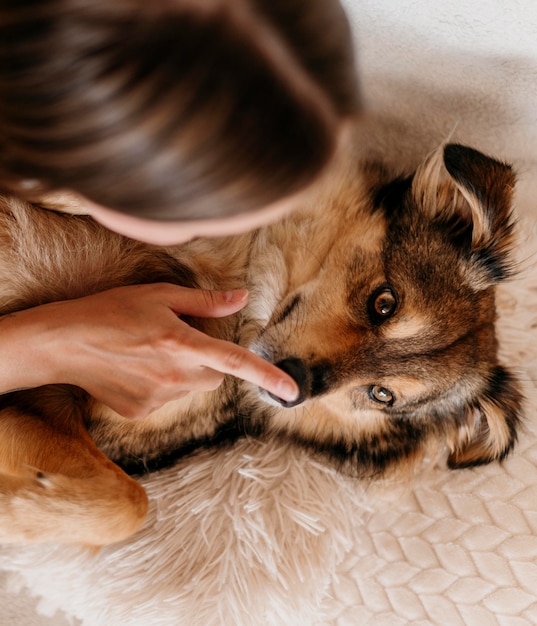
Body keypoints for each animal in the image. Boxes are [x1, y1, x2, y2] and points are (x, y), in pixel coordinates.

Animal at [0, 139, 524, 544]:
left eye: (382, 395)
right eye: (385, 303)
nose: (291, 388)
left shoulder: (57, 405)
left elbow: (128, 502)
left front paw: (13, 515)